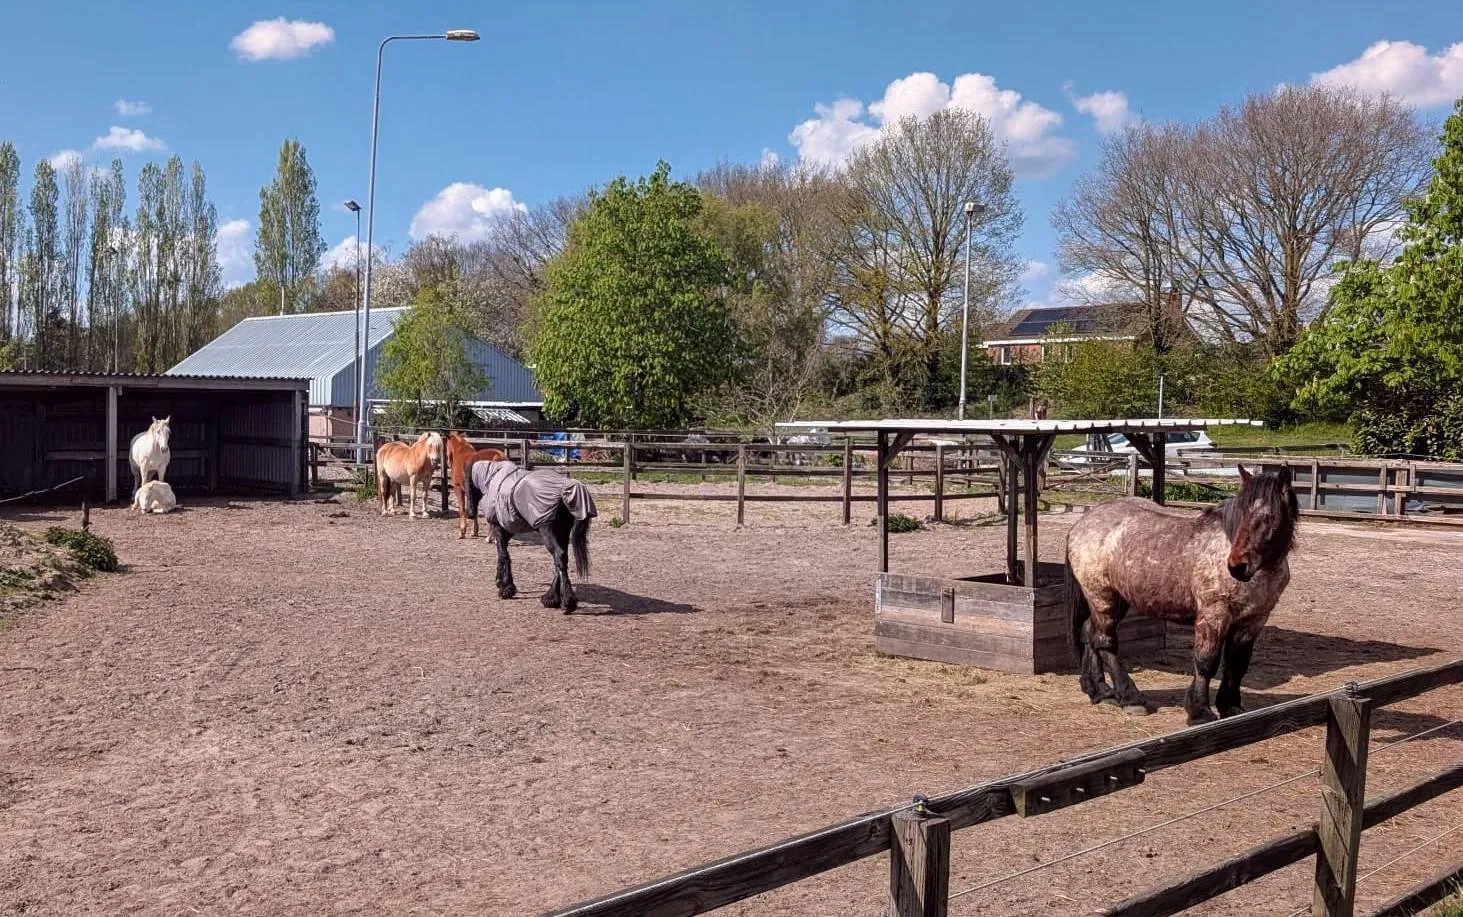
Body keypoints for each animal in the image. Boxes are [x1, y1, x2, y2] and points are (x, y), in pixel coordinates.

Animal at [467, 458, 596, 613]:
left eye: (467, 483)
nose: (470, 513)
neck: (494, 478)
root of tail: (567, 490)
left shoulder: (498, 528)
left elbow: (503, 555)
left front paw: (506, 589)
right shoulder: (508, 531)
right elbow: (502, 554)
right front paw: (501, 582)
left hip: (548, 532)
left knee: (559, 557)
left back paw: (565, 601)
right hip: (562, 533)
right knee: (561, 559)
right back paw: (552, 599)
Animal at [1066, 464, 1299, 725]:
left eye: (1269, 516)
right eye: (1242, 512)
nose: (1238, 566)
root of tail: (1081, 524)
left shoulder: (1254, 619)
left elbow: (1237, 664)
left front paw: (1231, 707)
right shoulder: (1214, 615)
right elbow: (1207, 662)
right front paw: (1199, 711)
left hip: (1117, 600)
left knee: (1089, 633)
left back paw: (1100, 691)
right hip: (1102, 597)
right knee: (1105, 642)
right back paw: (1130, 698)